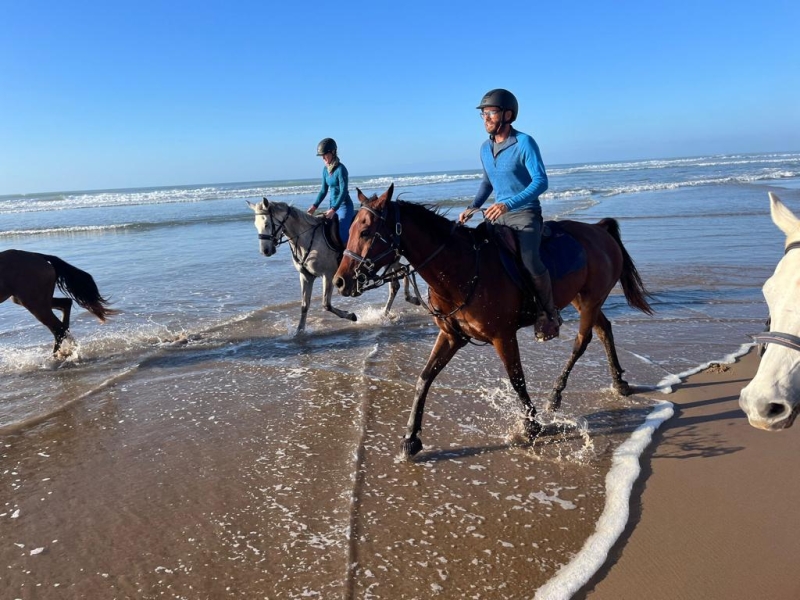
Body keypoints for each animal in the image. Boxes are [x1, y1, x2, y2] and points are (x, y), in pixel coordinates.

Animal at [247, 198, 422, 336]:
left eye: (267, 224)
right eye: (255, 225)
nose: (265, 251)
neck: (307, 237)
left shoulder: (329, 275)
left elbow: (326, 304)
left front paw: (351, 316)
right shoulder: (306, 276)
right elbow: (304, 305)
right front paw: (299, 331)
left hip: (388, 260)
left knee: (399, 277)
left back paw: (407, 300)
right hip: (387, 261)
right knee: (400, 275)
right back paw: (395, 307)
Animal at [334, 185, 652, 458]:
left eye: (366, 231)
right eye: (350, 230)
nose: (340, 281)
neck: (460, 269)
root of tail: (598, 229)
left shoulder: (503, 336)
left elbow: (516, 379)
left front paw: (531, 425)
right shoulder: (451, 337)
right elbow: (424, 378)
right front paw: (411, 438)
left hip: (590, 301)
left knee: (582, 341)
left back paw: (556, 395)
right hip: (581, 298)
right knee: (604, 329)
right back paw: (619, 382)